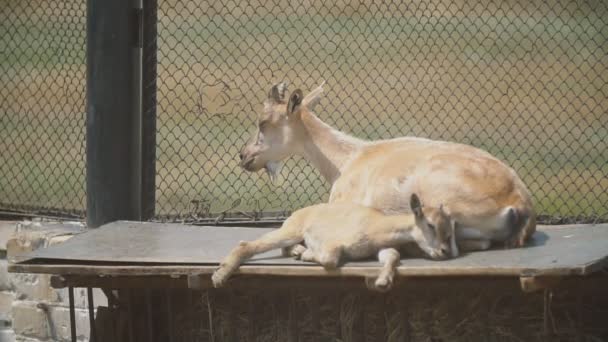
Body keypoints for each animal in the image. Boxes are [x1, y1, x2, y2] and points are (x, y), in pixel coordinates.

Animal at [213, 194, 456, 292]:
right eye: (430, 225)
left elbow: (393, 256)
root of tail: (296, 213)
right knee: (248, 245)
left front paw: (382, 281)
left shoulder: (379, 248)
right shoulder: (335, 242)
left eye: (448, 226)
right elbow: (330, 259)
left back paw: (298, 250)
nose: (444, 251)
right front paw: (309, 255)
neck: (377, 226)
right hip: (291, 229)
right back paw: (219, 276)